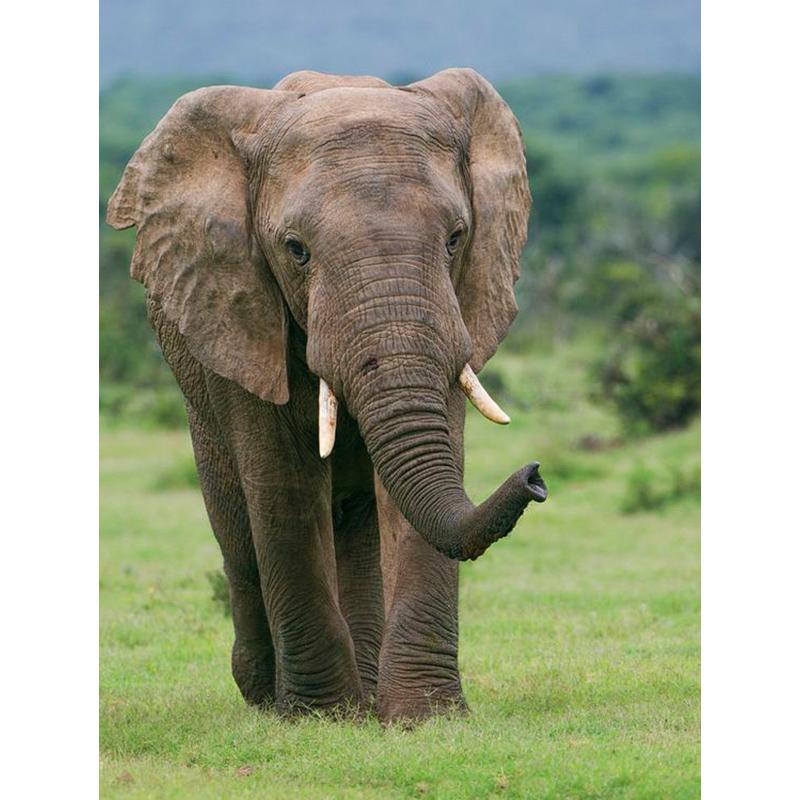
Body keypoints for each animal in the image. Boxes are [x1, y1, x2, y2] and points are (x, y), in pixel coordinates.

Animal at [107, 67, 548, 724]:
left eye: (455, 239)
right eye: (296, 250)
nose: (535, 476)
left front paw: (426, 718)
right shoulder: (239, 308)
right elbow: (283, 488)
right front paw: (316, 717)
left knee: (357, 521)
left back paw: (362, 697)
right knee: (237, 534)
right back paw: (267, 697)